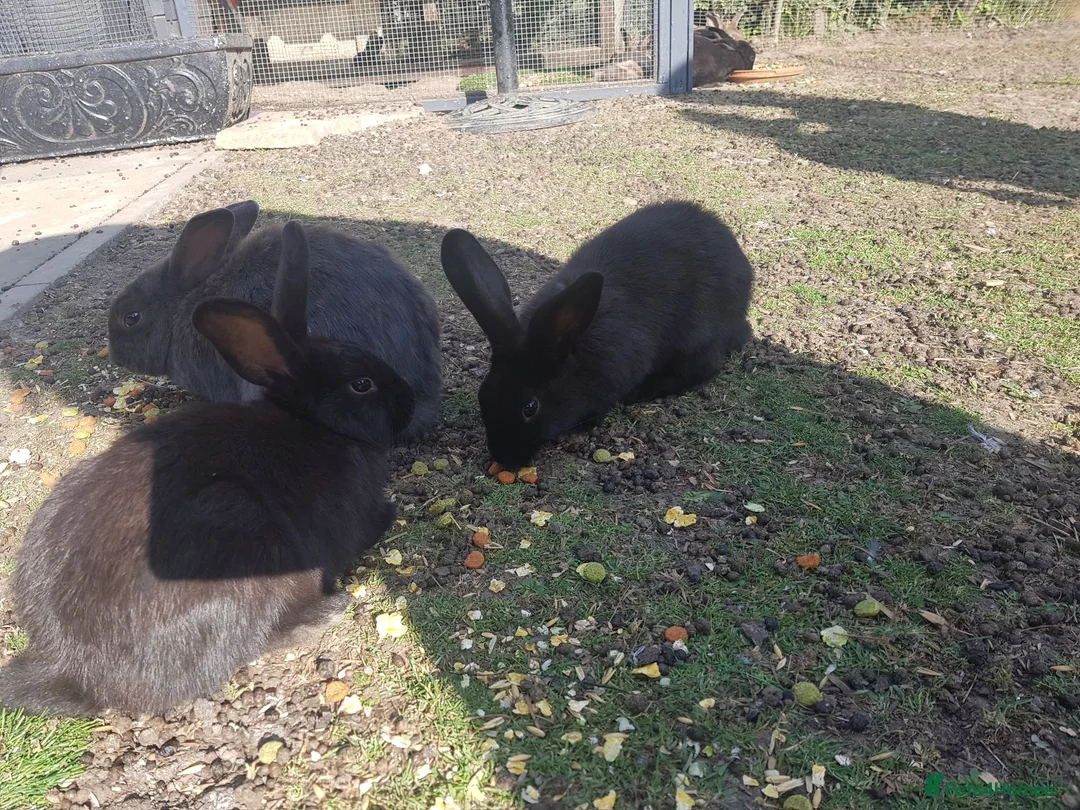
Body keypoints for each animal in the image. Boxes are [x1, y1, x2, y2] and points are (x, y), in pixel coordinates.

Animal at [0, 222, 413, 717]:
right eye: (361, 384)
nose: (409, 402)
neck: (311, 422)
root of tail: (74, 669)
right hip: (242, 533)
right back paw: (327, 612)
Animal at [441, 200, 754, 469]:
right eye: (484, 394)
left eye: (530, 407)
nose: (505, 458)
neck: (571, 352)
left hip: (695, 339)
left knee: (704, 369)